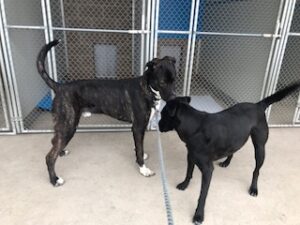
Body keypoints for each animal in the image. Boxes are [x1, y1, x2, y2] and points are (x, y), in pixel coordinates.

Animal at [36, 39, 177, 186]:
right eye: (162, 82)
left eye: (175, 79)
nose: (174, 98)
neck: (147, 88)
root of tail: (60, 86)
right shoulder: (138, 127)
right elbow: (139, 148)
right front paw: (143, 169)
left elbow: (138, 147)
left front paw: (141, 156)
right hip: (68, 126)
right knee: (50, 156)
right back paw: (54, 179)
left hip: (63, 126)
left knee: (54, 141)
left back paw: (61, 152)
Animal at [159, 82, 300, 223]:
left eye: (162, 114)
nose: (158, 124)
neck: (195, 126)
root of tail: (258, 105)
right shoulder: (191, 155)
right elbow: (188, 172)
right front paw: (184, 184)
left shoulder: (207, 170)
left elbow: (203, 194)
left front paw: (199, 214)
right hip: (236, 137)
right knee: (233, 150)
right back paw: (226, 162)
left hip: (260, 148)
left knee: (256, 170)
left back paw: (253, 188)